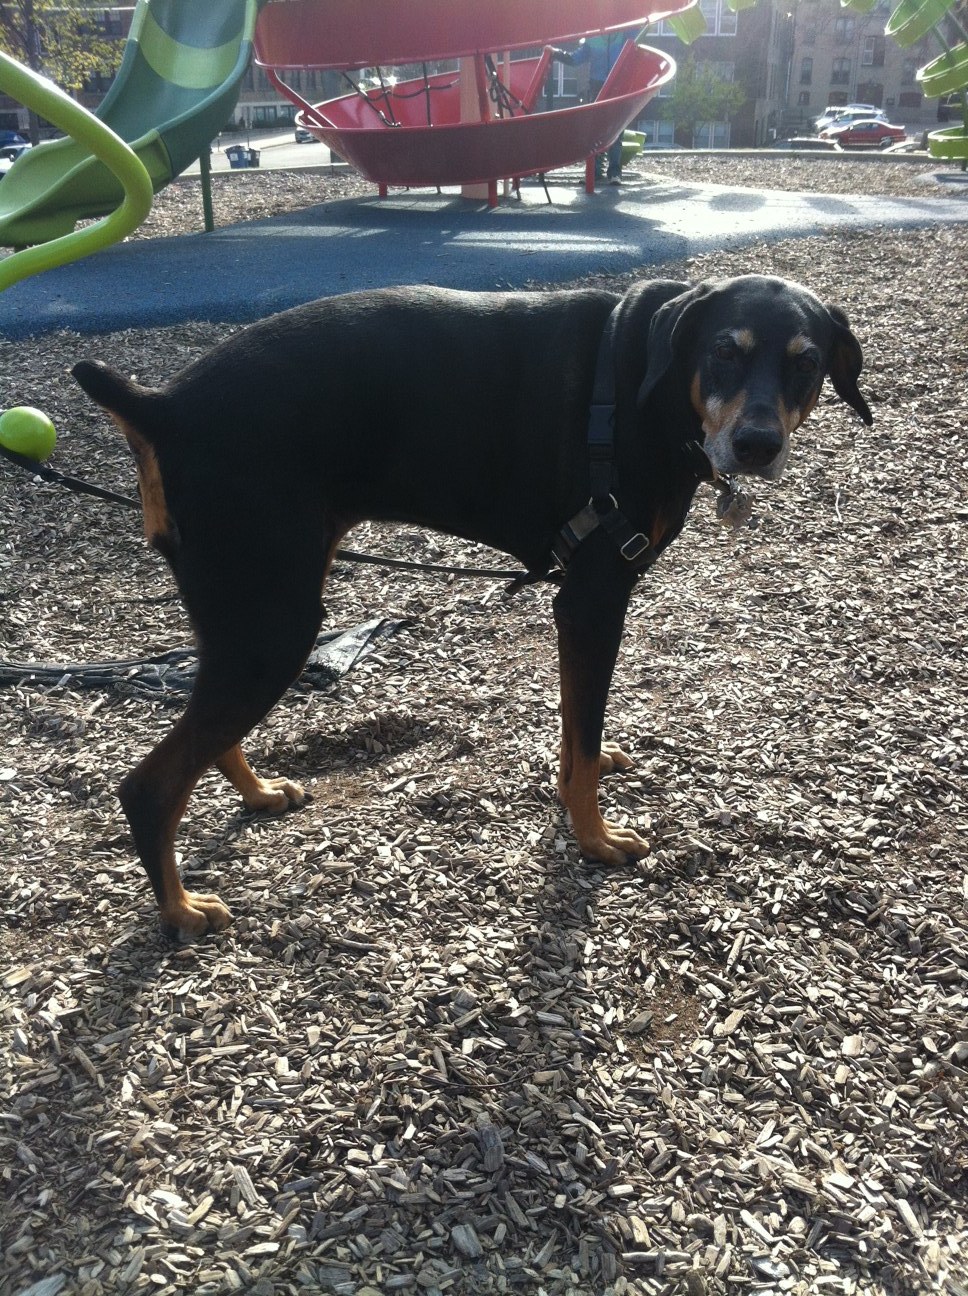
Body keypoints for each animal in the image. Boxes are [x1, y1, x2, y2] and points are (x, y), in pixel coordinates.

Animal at [71, 276, 875, 943]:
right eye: (725, 351)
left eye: (806, 362)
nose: (757, 444)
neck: (657, 378)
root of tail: (163, 407)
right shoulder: (593, 599)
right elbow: (585, 738)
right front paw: (594, 839)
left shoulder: (574, 613)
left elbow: (576, 728)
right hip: (276, 622)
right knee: (149, 787)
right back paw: (179, 910)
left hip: (249, 611)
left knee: (208, 733)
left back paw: (259, 792)